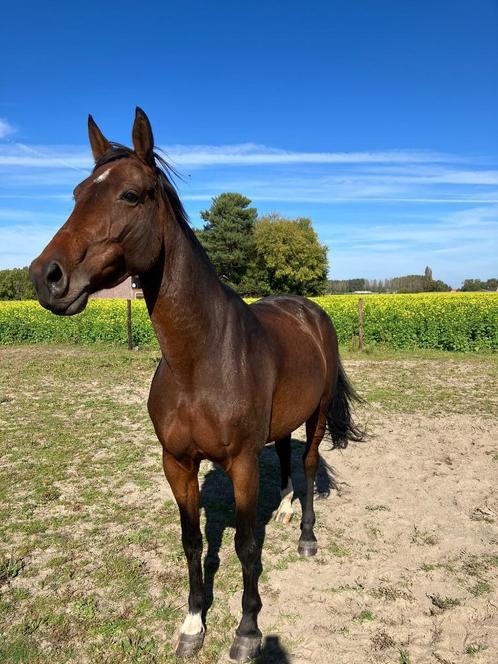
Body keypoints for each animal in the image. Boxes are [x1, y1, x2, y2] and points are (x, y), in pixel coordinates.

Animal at [29, 110, 364, 664]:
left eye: (131, 195)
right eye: (77, 193)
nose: (45, 276)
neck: (200, 361)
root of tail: (310, 311)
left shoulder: (242, 463)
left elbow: (247, 545)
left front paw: (247, 630)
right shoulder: (177, 463)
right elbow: (191, 542)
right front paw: (192, 624)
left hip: (316, 415)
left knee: (311, 462)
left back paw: (307, 536)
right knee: (287, 454)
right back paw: (287, 505)